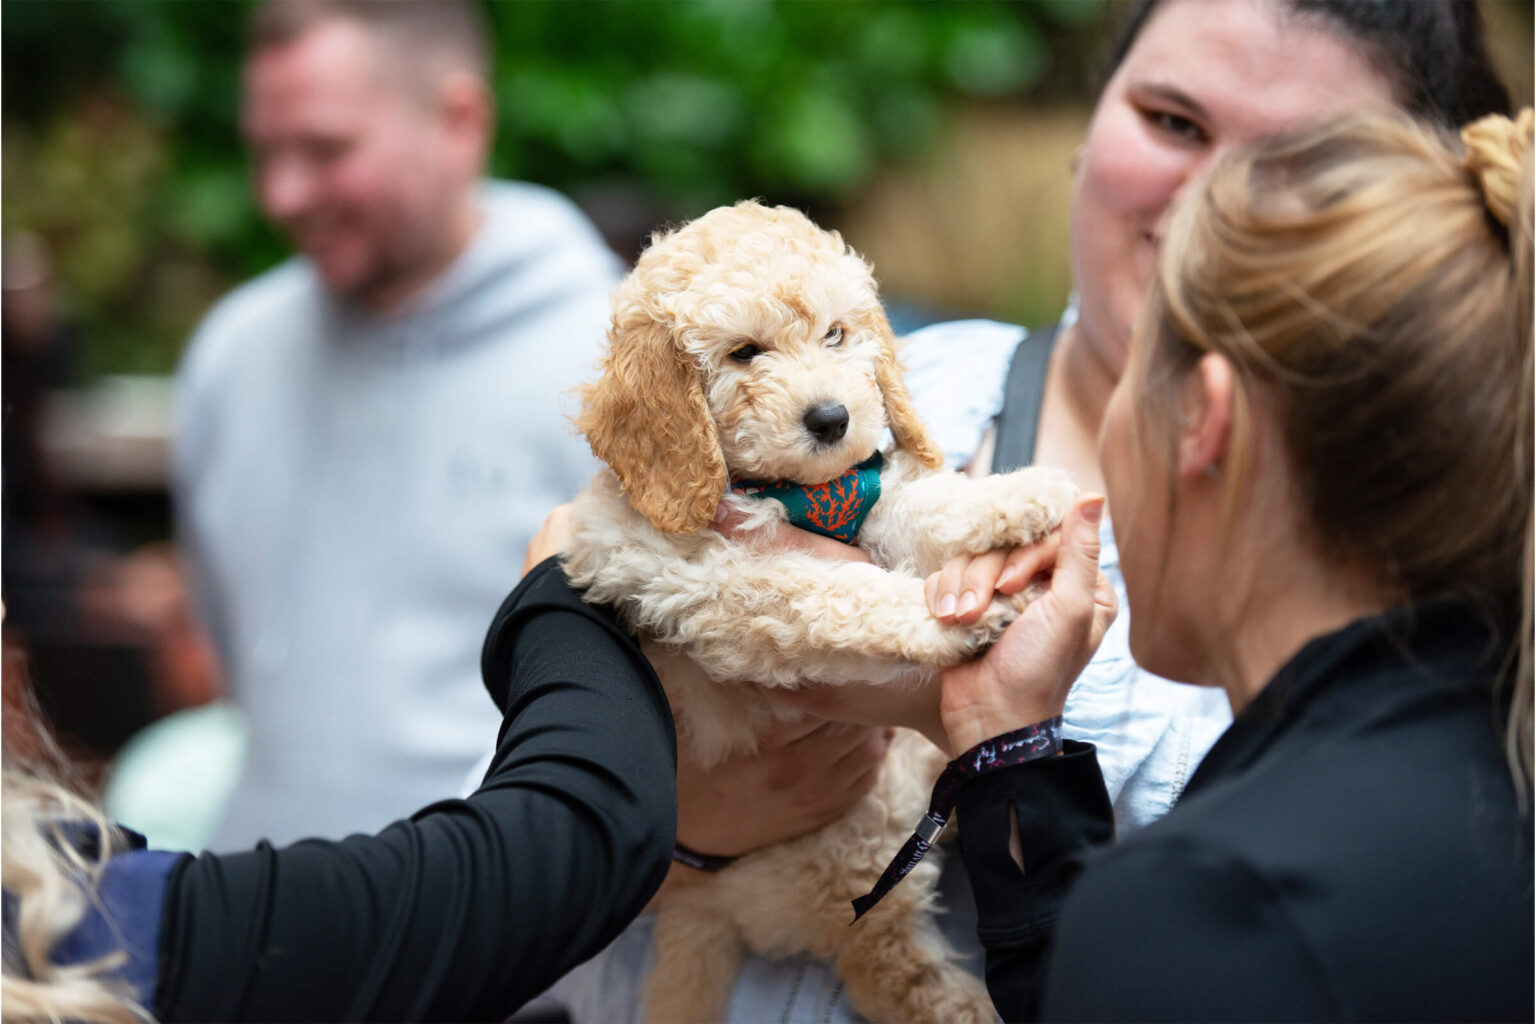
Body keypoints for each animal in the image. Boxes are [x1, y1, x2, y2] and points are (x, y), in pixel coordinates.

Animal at [559, 202, 1075, 1024]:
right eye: (744, 353)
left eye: (836, 334)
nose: (832, 418)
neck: (791, 493)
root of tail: (704, 911)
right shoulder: (729, 594)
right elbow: (842, 596)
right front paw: (951, 621)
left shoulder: (872, 506)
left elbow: (928, 504)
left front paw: (1020, 494)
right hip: (847, 869)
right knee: (895, 972)